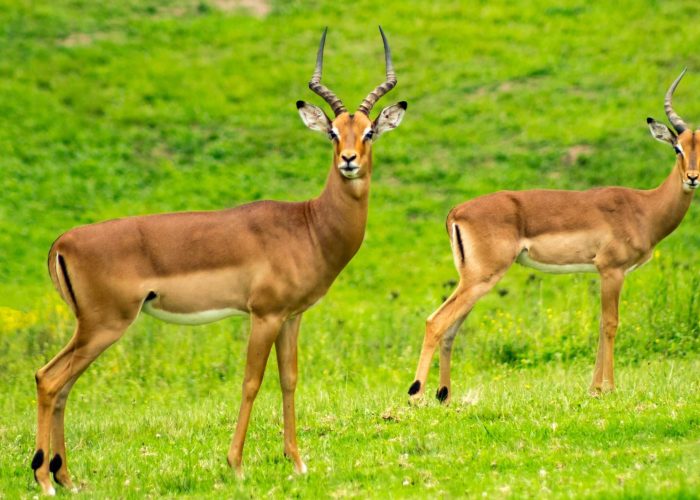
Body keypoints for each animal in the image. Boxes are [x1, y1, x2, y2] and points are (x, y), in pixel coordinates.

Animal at [32, 27, 406, 495]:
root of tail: (62, 242)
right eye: (333, 134)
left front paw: (298, 463)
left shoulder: (291, 317)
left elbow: (289, 380)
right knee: (49, 379)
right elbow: (251, 382)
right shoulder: (263, 315)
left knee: (60, 384)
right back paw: (45, 480)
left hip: (91, 328)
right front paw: (236, 465)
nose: (349, 161)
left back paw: (66, 478)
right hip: (103, 325)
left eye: (369, 131)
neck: (309, 225)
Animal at [408, 69, 697, 405]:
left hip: (472, 281)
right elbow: (611, 324)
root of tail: (456, 211)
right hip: (481, 279)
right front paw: (610, 388)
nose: (693, 178)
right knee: (436, 322)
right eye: (678, 148)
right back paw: (415, 395)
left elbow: (600, 325)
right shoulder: (612, 271)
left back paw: (444, 396)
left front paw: (594, 389)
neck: (643, 208)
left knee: (450, 330)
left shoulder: (605, 273)